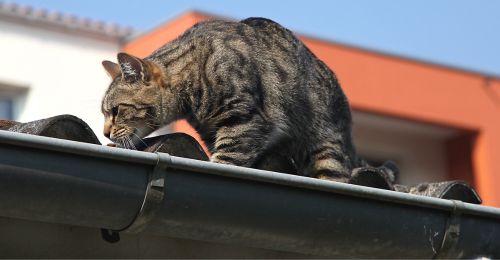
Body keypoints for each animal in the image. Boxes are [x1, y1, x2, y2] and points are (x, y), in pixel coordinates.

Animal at [102, 17, 364, 181]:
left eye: (116, 110)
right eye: (105, 113)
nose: (105, 133)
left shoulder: (243, 119)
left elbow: (226, 158)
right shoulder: (210, 131)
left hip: (326, 149)